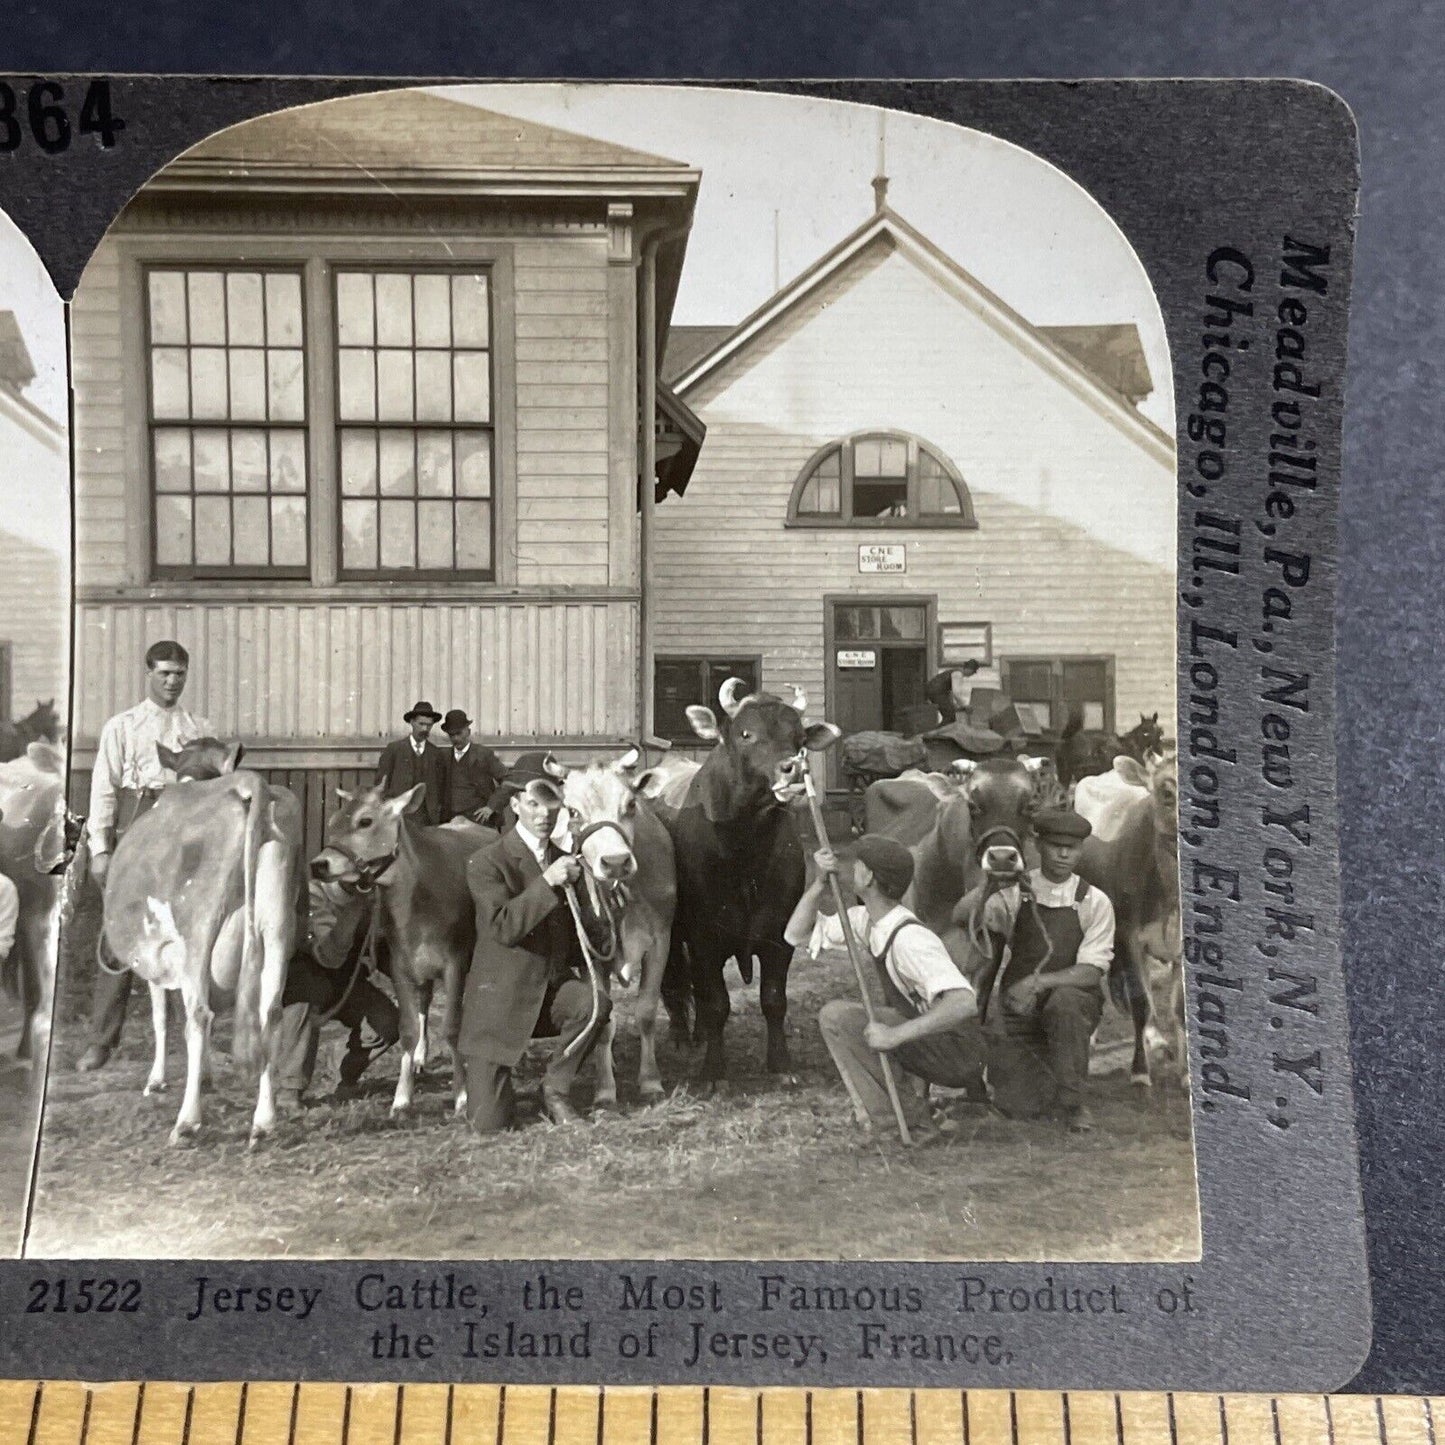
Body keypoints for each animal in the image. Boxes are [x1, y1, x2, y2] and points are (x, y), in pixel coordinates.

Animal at [99, 751, 304, 1144]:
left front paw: (158, 1080)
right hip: (277, 930)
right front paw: (205, 1076)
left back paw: (187, 1122)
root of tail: (250, 783)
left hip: (198, 932)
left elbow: (163, 1018)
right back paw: (263, 1122)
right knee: (270, 1012)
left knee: (199, 1016)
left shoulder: (158, 955)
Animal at [543, 751, 676, 1098]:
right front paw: (604, 1089)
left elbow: (646, 1012)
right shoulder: (592, 950)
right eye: (572, 811)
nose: (615, 862)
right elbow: (602, 1021)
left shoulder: (661, 940)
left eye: (630, 804)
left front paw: (651, 1081)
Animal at [650, 676, 843, 1086]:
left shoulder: (779, 938)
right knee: (674, 981)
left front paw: (781, 1065)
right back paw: (681, 1036)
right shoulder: (704, 939)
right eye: (746, 733)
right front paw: (713, 1071)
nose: (793, 770)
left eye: (799, 737)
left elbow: (773, 1000)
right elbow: (716, 1002)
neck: (745, 854)